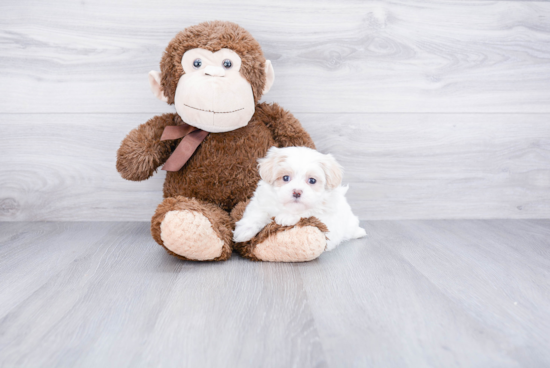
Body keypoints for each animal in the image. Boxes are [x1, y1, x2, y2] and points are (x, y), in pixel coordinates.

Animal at [233, 147, 366, 250]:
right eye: (285, 178)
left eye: (312, 180)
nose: (296, 192)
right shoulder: (261, 201)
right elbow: (257, 213)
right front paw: (243, 231)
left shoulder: (325, 217)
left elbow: (309, 212)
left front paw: (286, 217)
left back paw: (359, 232)